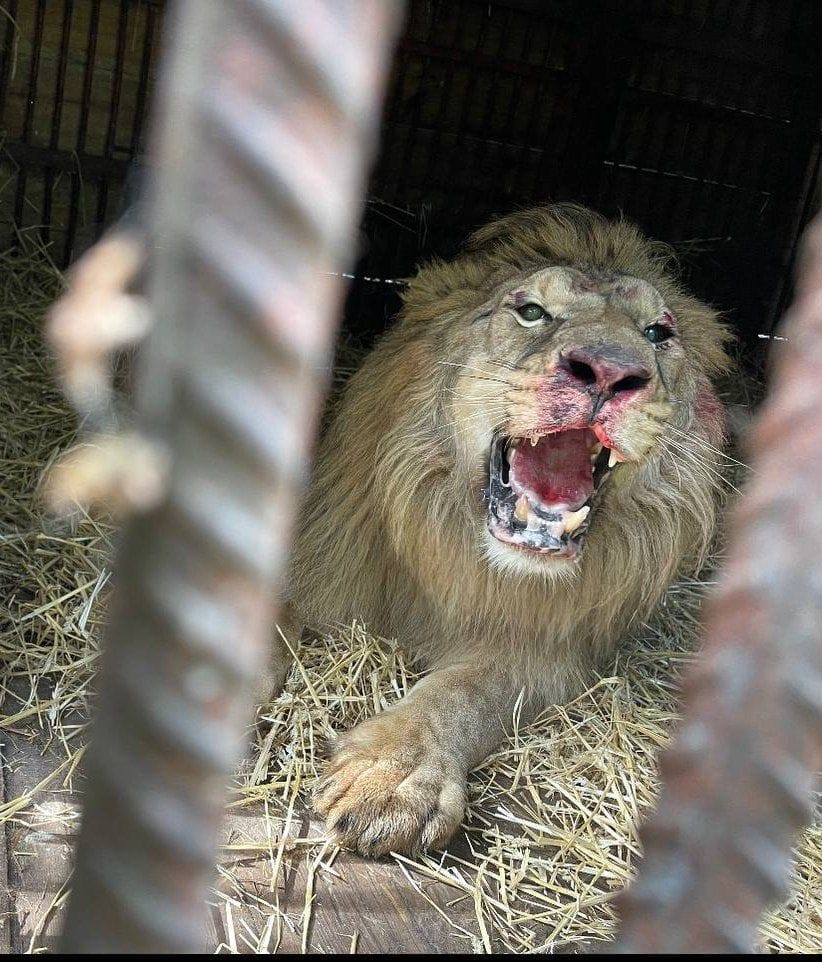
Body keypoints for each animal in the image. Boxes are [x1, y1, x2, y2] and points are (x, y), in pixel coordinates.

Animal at [275, 203, 731, 858]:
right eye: (532, 311)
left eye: (657, 334)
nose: (610, 372)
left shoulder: (545, 646)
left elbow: (463, 694)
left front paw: (392, 777)